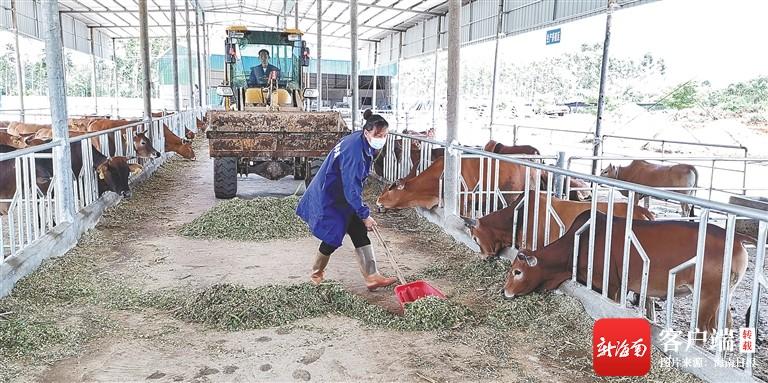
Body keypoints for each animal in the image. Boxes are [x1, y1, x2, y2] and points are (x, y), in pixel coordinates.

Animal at [508, 212, 748, 334]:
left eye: (517, 272)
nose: (505, 292)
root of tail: (737, 244)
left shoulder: (611, 286)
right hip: (723, 297)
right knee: (725, 325)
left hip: (707, 295)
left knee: (703, 330)